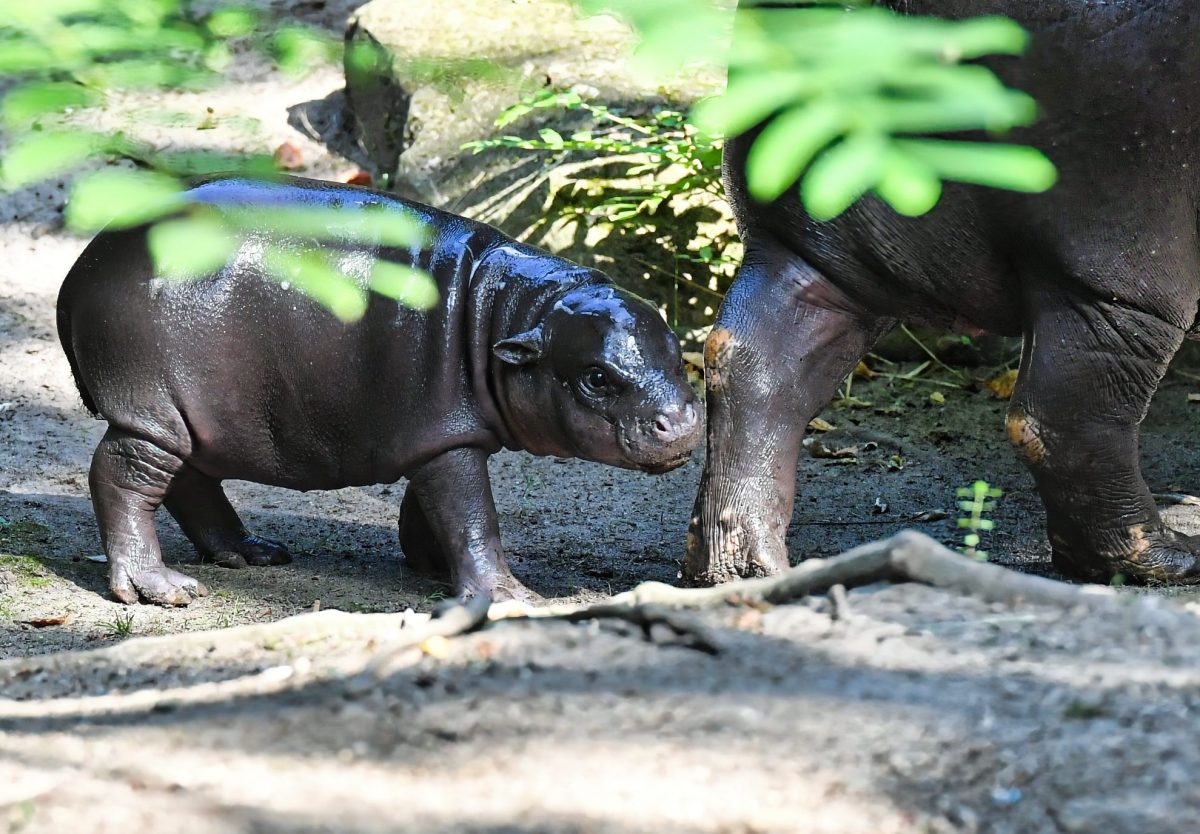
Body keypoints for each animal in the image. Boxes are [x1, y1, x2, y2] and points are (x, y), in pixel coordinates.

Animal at [58, 176, 700, 607]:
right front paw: (512, 597)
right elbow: (474, 517)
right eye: (597, 376)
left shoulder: (442, 433)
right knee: (123, 476)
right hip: (153, 411)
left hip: (195, 417)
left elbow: (437, 508)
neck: (511, 312)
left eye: (677, 349)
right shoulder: (448, 438)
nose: (684, 420)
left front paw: (432, 567)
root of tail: (81, 268)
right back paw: (159, 589)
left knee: (191, 479)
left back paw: (253, 552)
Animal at [691, 0, 1200, 588]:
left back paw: (742, 569)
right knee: (1064, 414)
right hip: (1124, 263)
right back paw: (1167, 557)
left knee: (754, 363)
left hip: (813, 245)